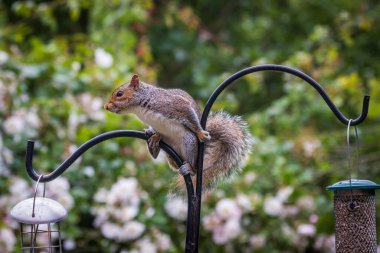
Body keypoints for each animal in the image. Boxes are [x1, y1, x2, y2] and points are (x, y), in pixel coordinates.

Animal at [104, 75, 252, 198]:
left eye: (119, 94)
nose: (106, 106)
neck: (141, 107)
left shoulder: (173, 105)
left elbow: (188, 114)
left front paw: (200, 133)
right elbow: (156, 130)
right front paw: (153, 133)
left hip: (189, 142)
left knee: (193, 169)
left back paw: (189, 167)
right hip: (171, 153)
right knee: (166, 160)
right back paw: (153, 144)